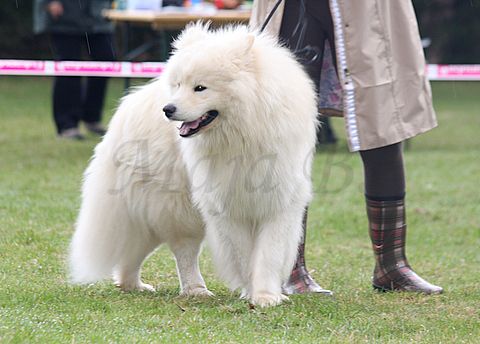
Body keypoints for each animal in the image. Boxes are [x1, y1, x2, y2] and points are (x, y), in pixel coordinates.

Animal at [69, 22, 316, 306]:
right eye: (178, 85)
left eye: (200, 88)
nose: (168, 109)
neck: (243, 135)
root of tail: (131, 105)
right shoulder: (225, 207)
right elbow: (244, 256)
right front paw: (253, 292)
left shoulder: (279, 203)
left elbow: (269, 255)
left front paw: (266, 296)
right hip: (178, 208)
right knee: (183, 250)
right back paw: (195, 289)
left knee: (136, 250)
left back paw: (133, 285)